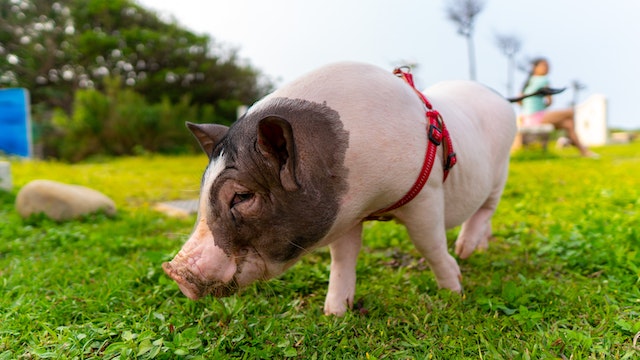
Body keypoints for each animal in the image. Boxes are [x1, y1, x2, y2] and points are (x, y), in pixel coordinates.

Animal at [162, 61, 516, 316]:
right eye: (203, 187)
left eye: (242, 196)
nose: (175, 271)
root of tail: (502, 99)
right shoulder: (346, 212)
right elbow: (343, 257)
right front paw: (334, 314)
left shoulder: (425, 195)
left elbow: (429, 245)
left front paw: (455, 290)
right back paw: (478, 250)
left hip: (501, 169)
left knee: (487, 208)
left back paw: (465, 250)